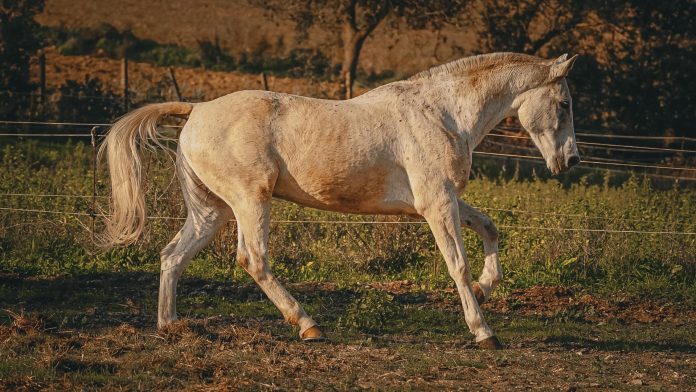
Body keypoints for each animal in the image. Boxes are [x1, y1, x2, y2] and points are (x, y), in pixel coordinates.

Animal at [102, 52, 580, 350]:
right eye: (564, 103)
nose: (570, 160)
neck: (444, 114)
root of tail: (196, 110)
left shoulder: (442, 200)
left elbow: (490, 228)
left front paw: (485, 286)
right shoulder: (436, 203)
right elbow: (456, 264)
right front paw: (484, 332)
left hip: (212, 210)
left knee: (172, 256)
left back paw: (170, 326)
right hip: (250, 201)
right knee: (253, 259)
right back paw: (308, 326)